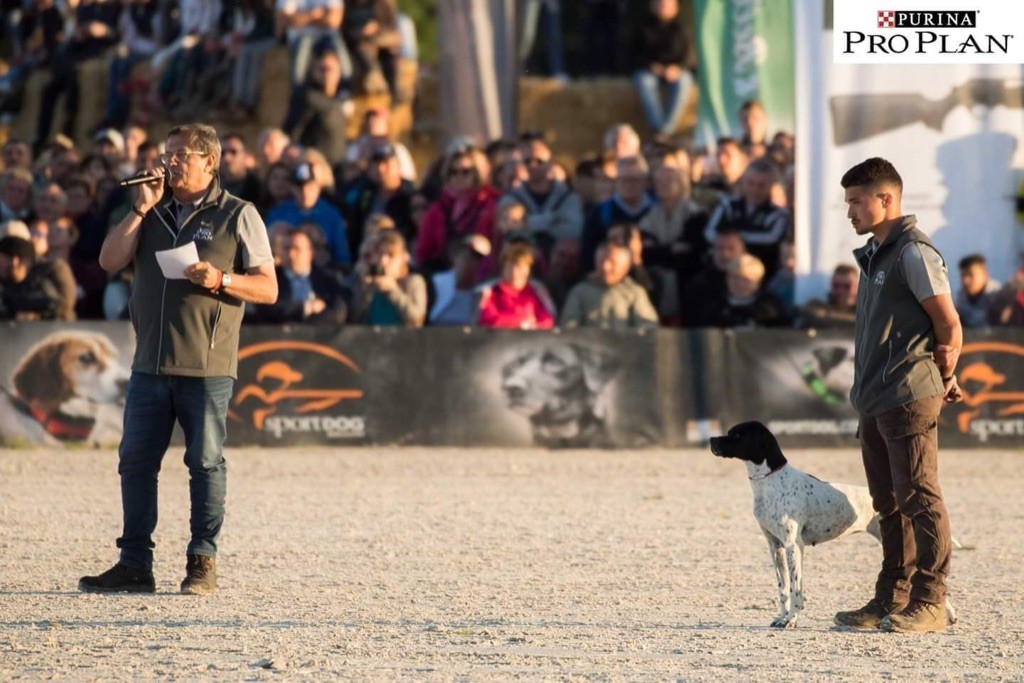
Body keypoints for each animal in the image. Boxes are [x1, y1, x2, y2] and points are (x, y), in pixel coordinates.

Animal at [708, 421, 954, 630]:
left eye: (736, 435)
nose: (711, 439)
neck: (770, 481)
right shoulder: (775, 546)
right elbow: (784, 589)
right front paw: (782, 617)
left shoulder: (792, 546)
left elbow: (795, 590)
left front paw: (791, 619)